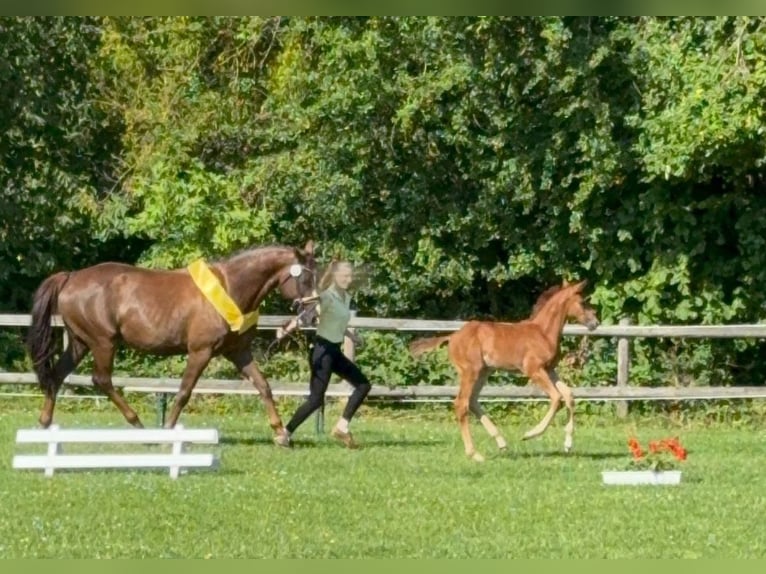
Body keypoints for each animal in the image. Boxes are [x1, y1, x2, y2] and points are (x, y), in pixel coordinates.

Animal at [26, 241, 317, 443]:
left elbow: (263, 386)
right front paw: (167, 430)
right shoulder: (200, 351)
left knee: (57, 375)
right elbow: (184, 392)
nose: (313, 315)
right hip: (103, 342)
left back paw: (43, 424)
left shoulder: (238, 352)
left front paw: (281, 434)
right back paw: (138, 425)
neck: (231, 288)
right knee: (101, 380)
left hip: (80, 342)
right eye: (304, 277)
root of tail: (71, 277)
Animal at [409, 280, 599, 462]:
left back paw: (501, 443)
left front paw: (568, 444)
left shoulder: (549, 369)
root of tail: (452, 336)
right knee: (461, 404)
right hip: (470, 371)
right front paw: (529, 434)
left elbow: (569, 396)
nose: (595, 323)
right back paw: (475, 454)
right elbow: (557, 398)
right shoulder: (533, 369)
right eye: (582, 302)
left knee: (472, 401)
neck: (543, 332)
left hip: (484, 372)